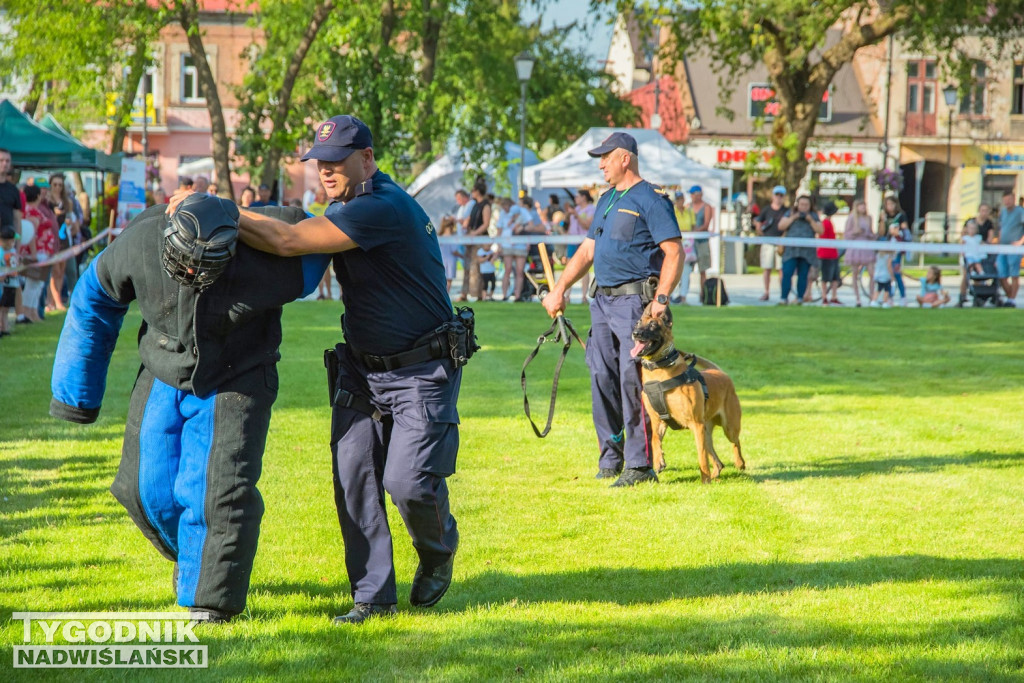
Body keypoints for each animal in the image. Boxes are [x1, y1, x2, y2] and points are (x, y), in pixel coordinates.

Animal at [622, 307, 745, 483]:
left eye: (653, 325)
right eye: (638, 323)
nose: (636, 333)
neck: (659, 371)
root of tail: (720, 373)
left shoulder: (696, 424)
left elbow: (701, 458)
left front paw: (705, 481)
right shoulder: (658, 421)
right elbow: (654, 440)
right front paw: (658, 460)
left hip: (728, 426)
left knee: (735, 442)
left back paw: (739, 463)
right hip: (706, 432)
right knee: (718, 460)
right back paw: (716, 475)